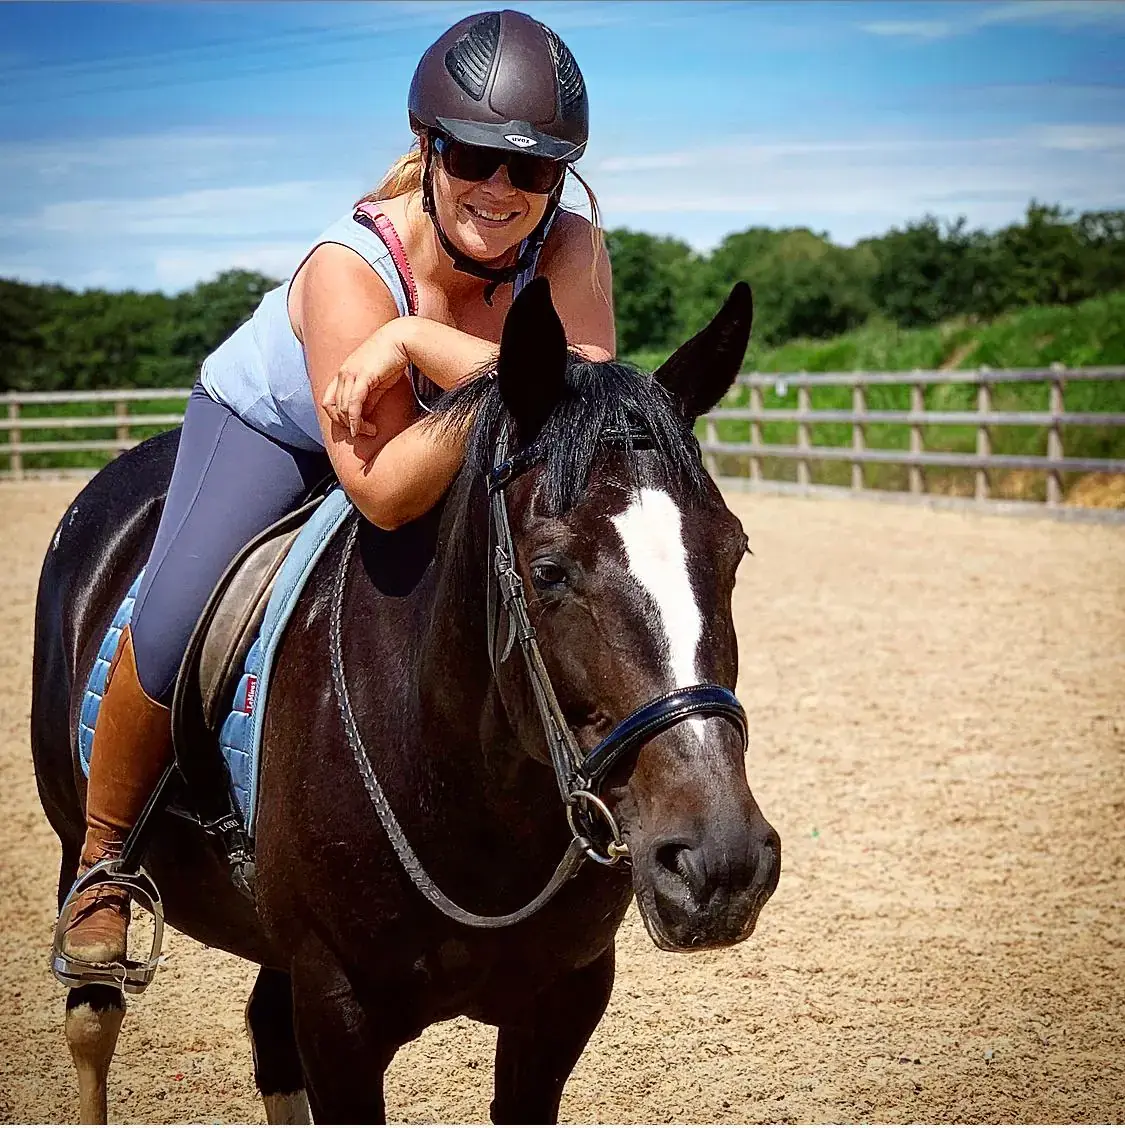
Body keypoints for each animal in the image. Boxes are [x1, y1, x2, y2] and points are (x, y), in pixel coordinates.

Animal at [31, 276, 780, 1124]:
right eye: (549, 570)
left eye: (733, 551)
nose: (720, 862)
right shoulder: (338, 1013)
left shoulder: (564, 998)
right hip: (78, 848)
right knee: (94, 1012)